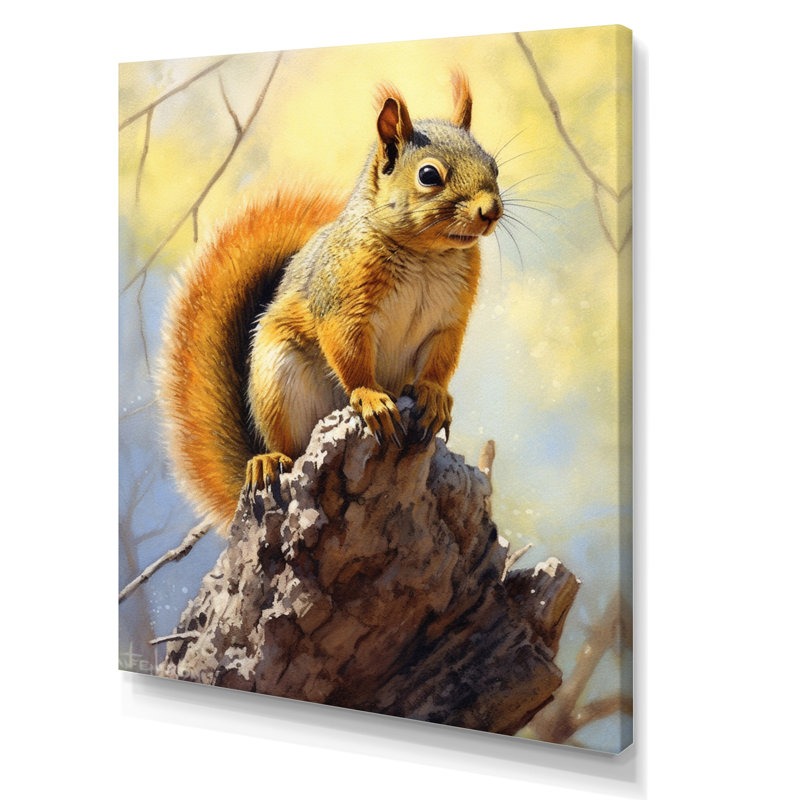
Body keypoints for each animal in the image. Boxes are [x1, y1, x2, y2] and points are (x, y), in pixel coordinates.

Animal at [158, 71, 504, 533]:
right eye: (429, 175)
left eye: (493, 165)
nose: (491, 210)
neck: (427, 255)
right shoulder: (343, 305)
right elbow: (350, 353)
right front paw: (370, 397)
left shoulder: (449, 320)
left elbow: (440, 362)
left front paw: (433, 395)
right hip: (278, 380)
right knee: (289, 447)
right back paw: (269, 460)